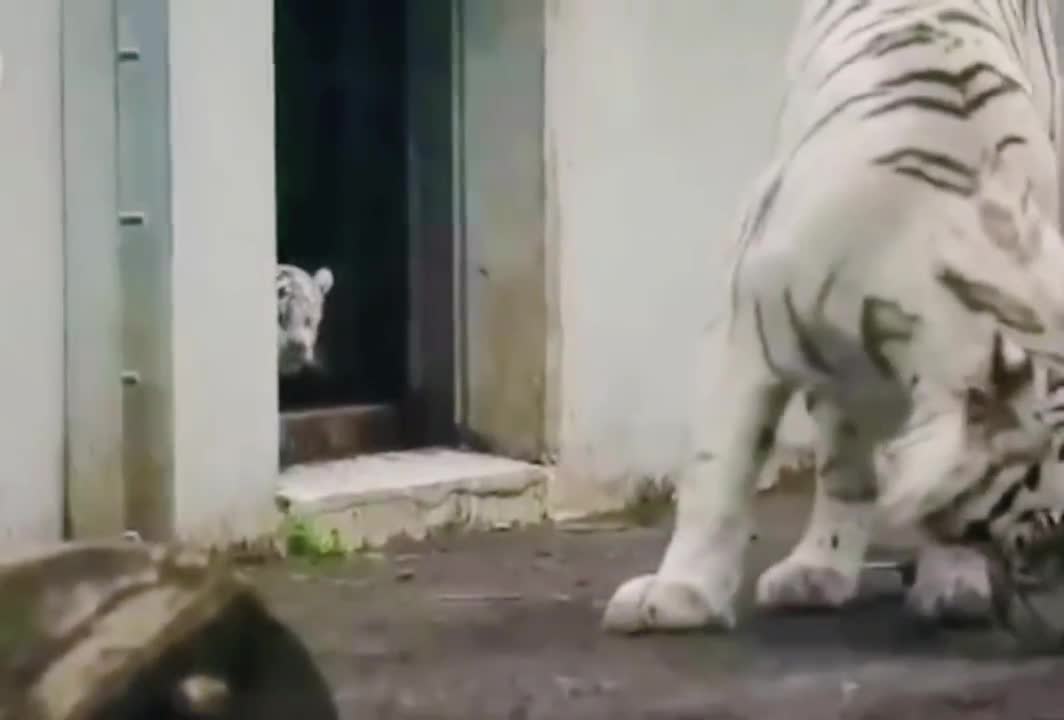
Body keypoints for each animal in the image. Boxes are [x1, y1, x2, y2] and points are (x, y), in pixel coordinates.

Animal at [600, 0, 1064, 633]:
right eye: (1044, 540)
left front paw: (954, 582)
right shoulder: (743, 339)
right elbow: (718, 475)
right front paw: (679, 595)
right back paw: (815, 571)